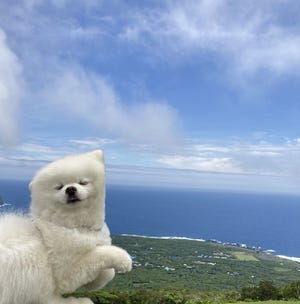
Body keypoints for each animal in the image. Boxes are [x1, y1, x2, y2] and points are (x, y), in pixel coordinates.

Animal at [0, 151, 132, 304]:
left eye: (83, 182)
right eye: (59, 186)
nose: (70, 189)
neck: (73, 226)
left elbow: (106, 273)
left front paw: (99, 280)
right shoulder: (66, 273)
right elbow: (99, 254)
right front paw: (124, 260)